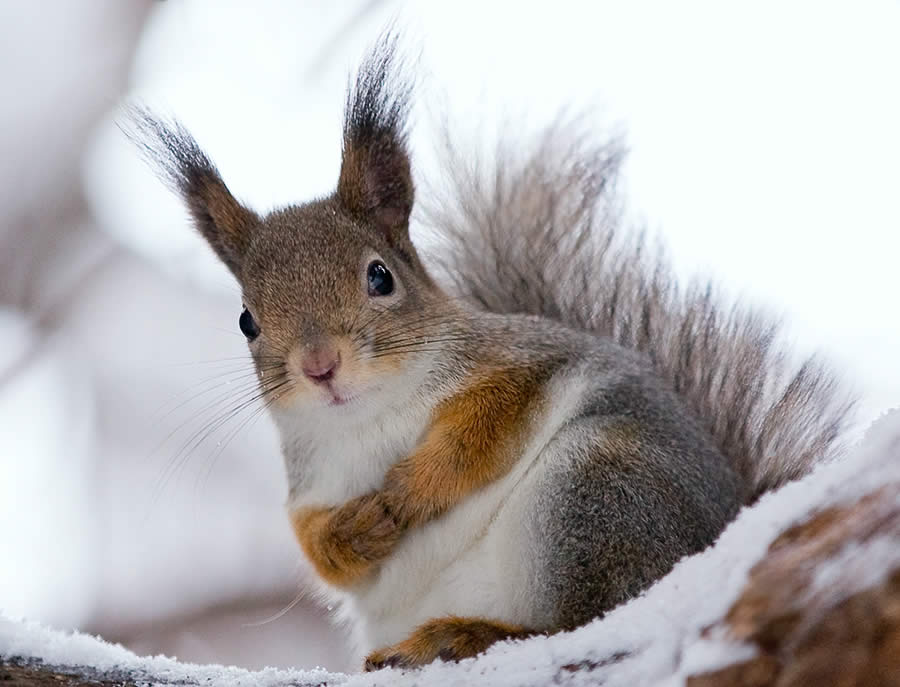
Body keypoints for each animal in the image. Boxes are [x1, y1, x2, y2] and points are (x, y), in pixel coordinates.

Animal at [126, 32, 852, 672]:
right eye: (247, 320)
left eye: (380, 277)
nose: (319, 365)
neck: (367, 417)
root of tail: (729, 529)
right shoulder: (310, 481)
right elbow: (316, 544)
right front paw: (357, 530)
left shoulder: (520, 361)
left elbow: (485, 429)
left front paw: (409, 491)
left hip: (596, 490)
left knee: (584, 619)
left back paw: (461, 635)